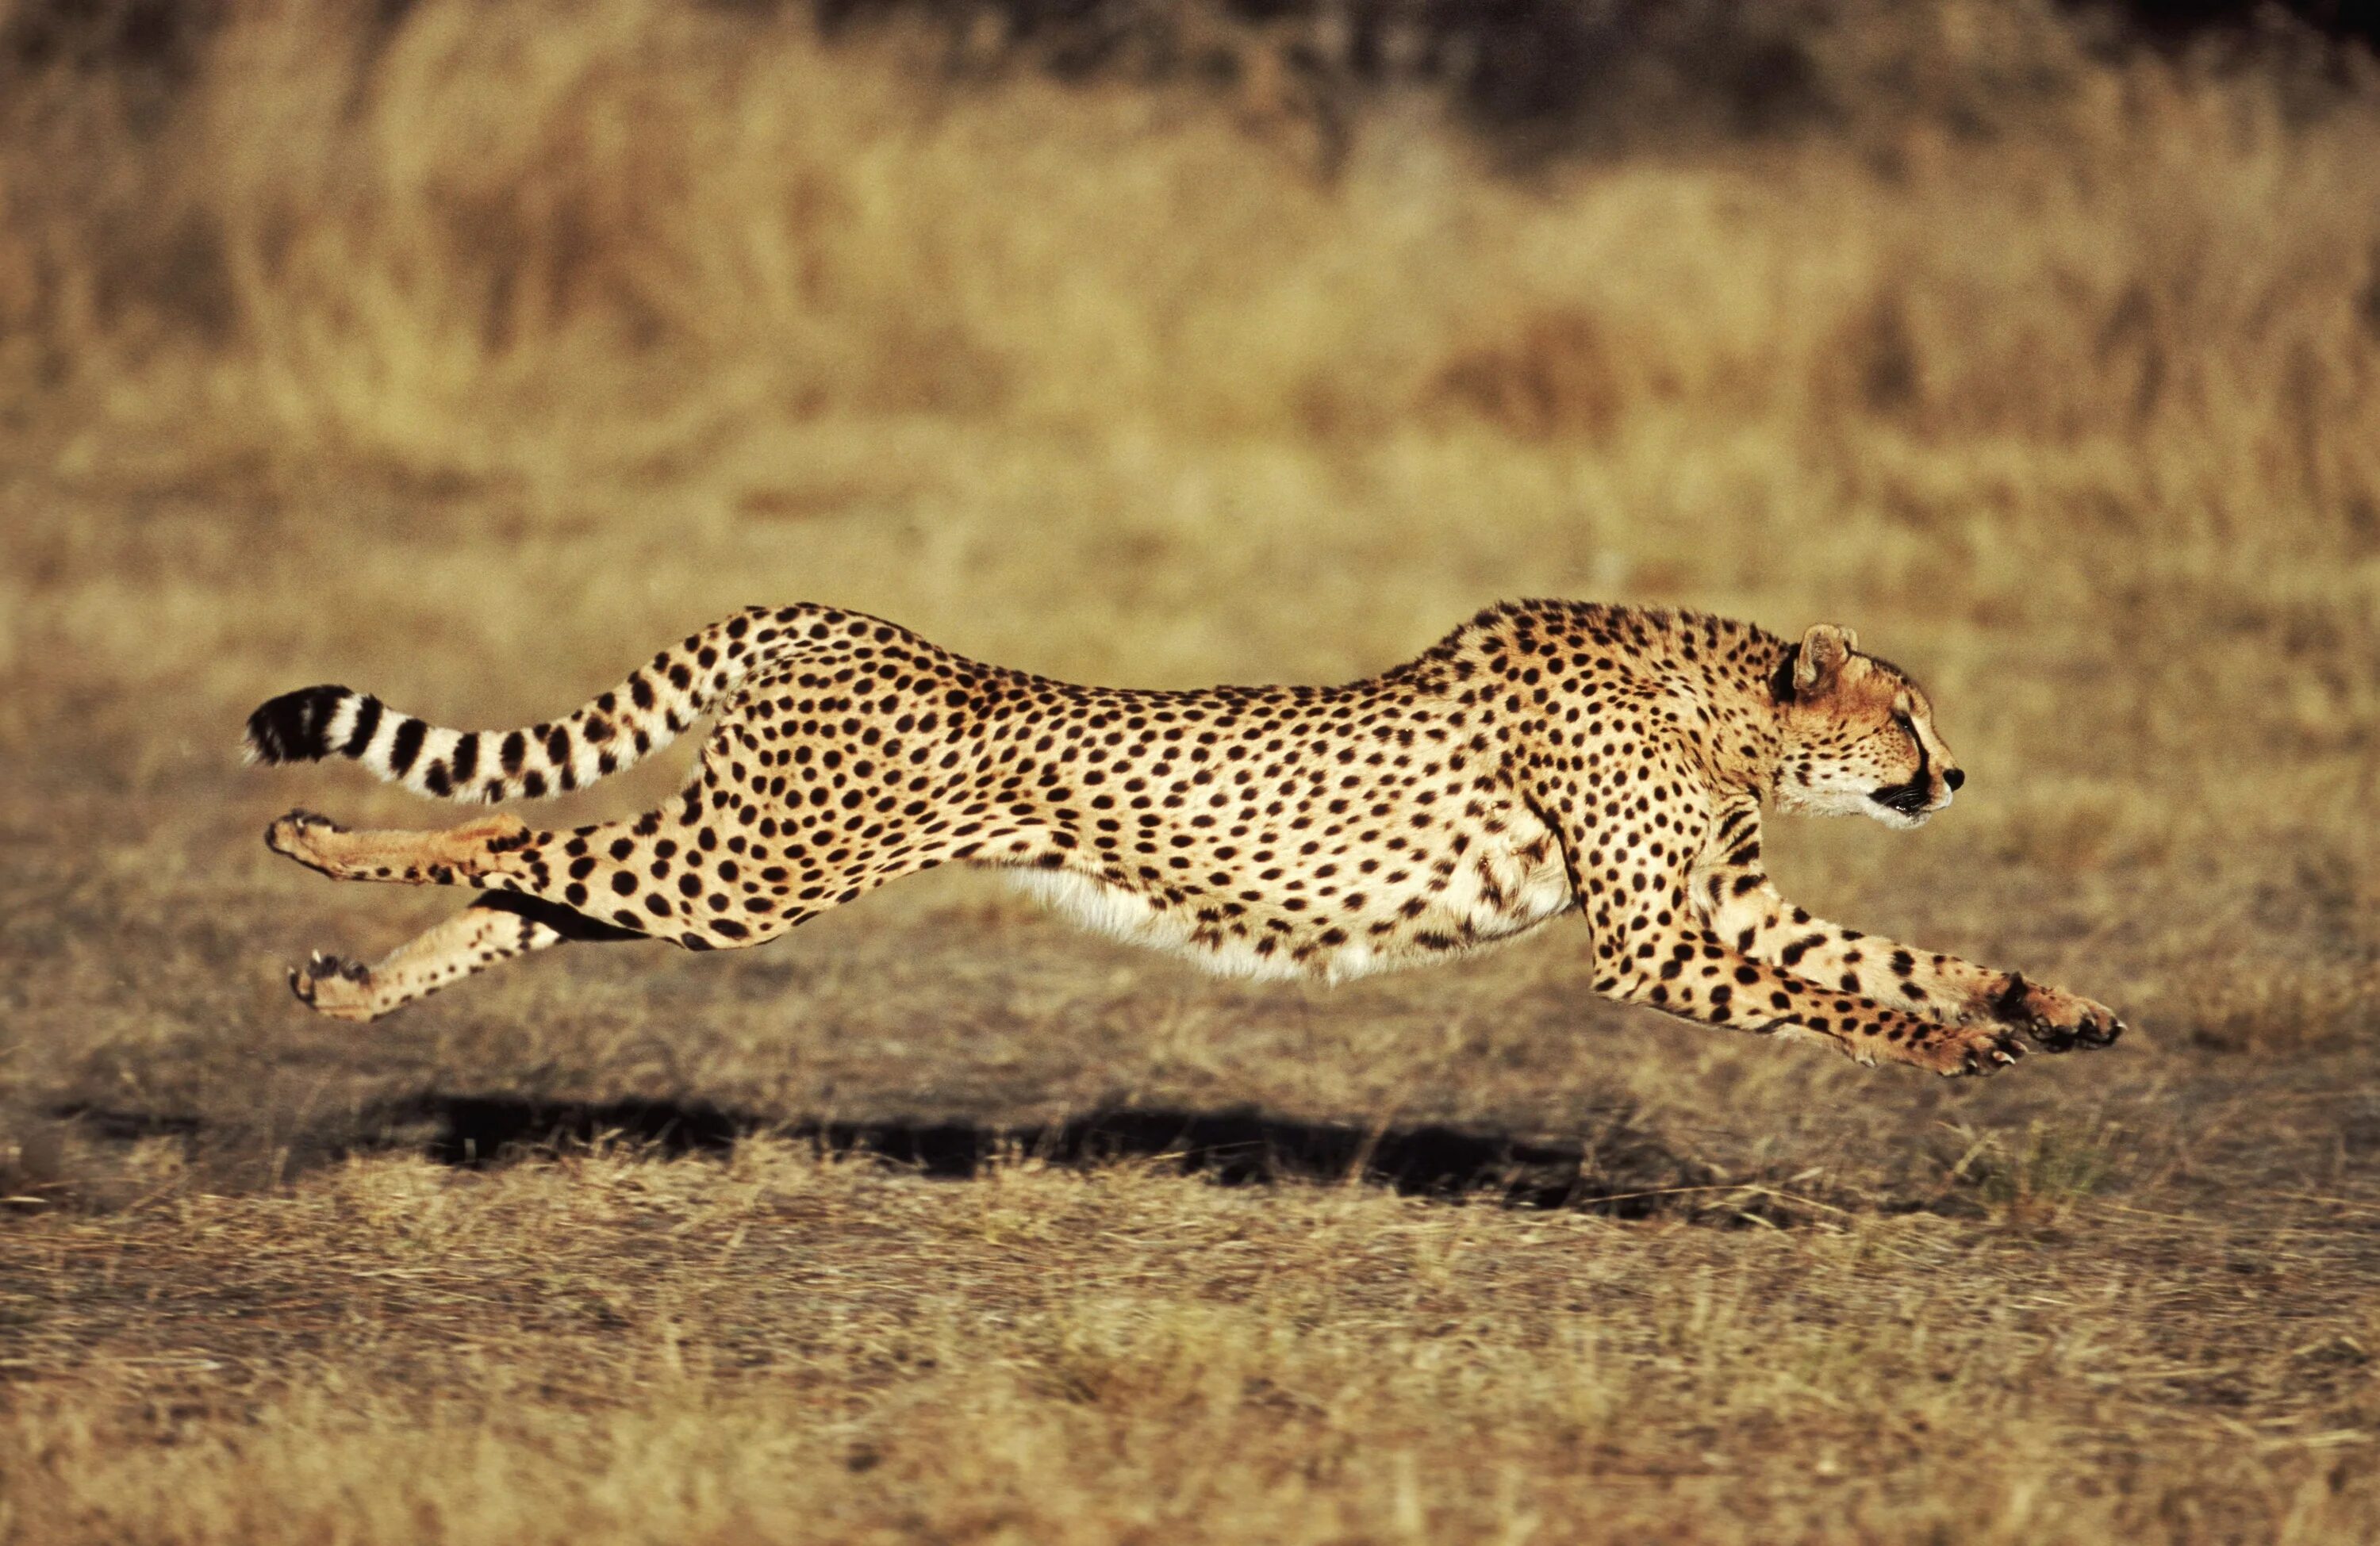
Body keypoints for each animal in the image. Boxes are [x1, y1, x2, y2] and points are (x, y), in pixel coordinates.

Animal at [251, 597, 2132, 1080]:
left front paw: (2050, 1006)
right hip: (758, 867)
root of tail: (835, 615)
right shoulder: (1653, 941)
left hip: (734, 864)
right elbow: (1842, 995)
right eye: (1906, 717)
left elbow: (1892, 952)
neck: (1724, 700)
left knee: (527, 883)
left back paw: (343, 986)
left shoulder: (1720, 907)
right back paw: (311, 836)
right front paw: (1947, 1049)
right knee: (505, 822)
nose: (1956, 775)